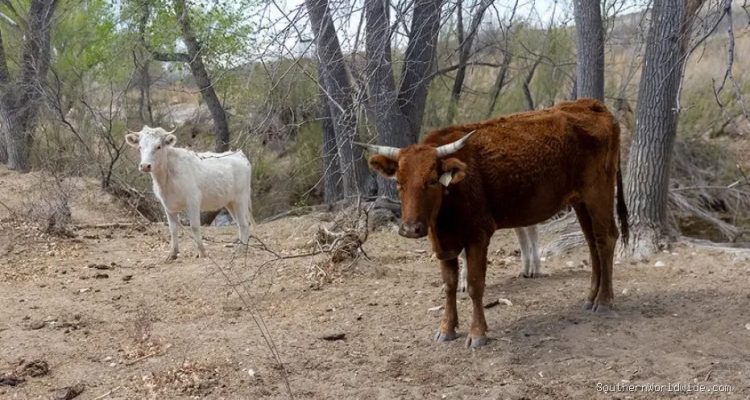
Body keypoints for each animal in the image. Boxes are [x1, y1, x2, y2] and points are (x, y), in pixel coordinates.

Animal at [125, 126, 255, 261]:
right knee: (240, 224)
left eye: (158, 146)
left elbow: (194, 226)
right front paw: (172, 254)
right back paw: (242, 248)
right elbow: (173, 229)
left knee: (244, 224)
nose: (145, 165)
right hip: (230, 202)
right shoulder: (168, 205)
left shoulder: (193, 200)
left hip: (241, 199)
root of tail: (239, 154)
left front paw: (202, 252)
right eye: (140, 147)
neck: (166, 177)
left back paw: (241, 250)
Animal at [357, 99, 628, 348]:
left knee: (606, 238)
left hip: (599, 194)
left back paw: (604, 301)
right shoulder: (444, 244)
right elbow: (449, 284)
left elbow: (475, 285)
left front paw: (477, 333)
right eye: (399, 183)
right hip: (581, 201)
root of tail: (592, 104)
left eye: (432, 181)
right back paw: (590, 297)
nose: (410, 229)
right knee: (592, 243)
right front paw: (446, 329)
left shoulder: (479, 236)